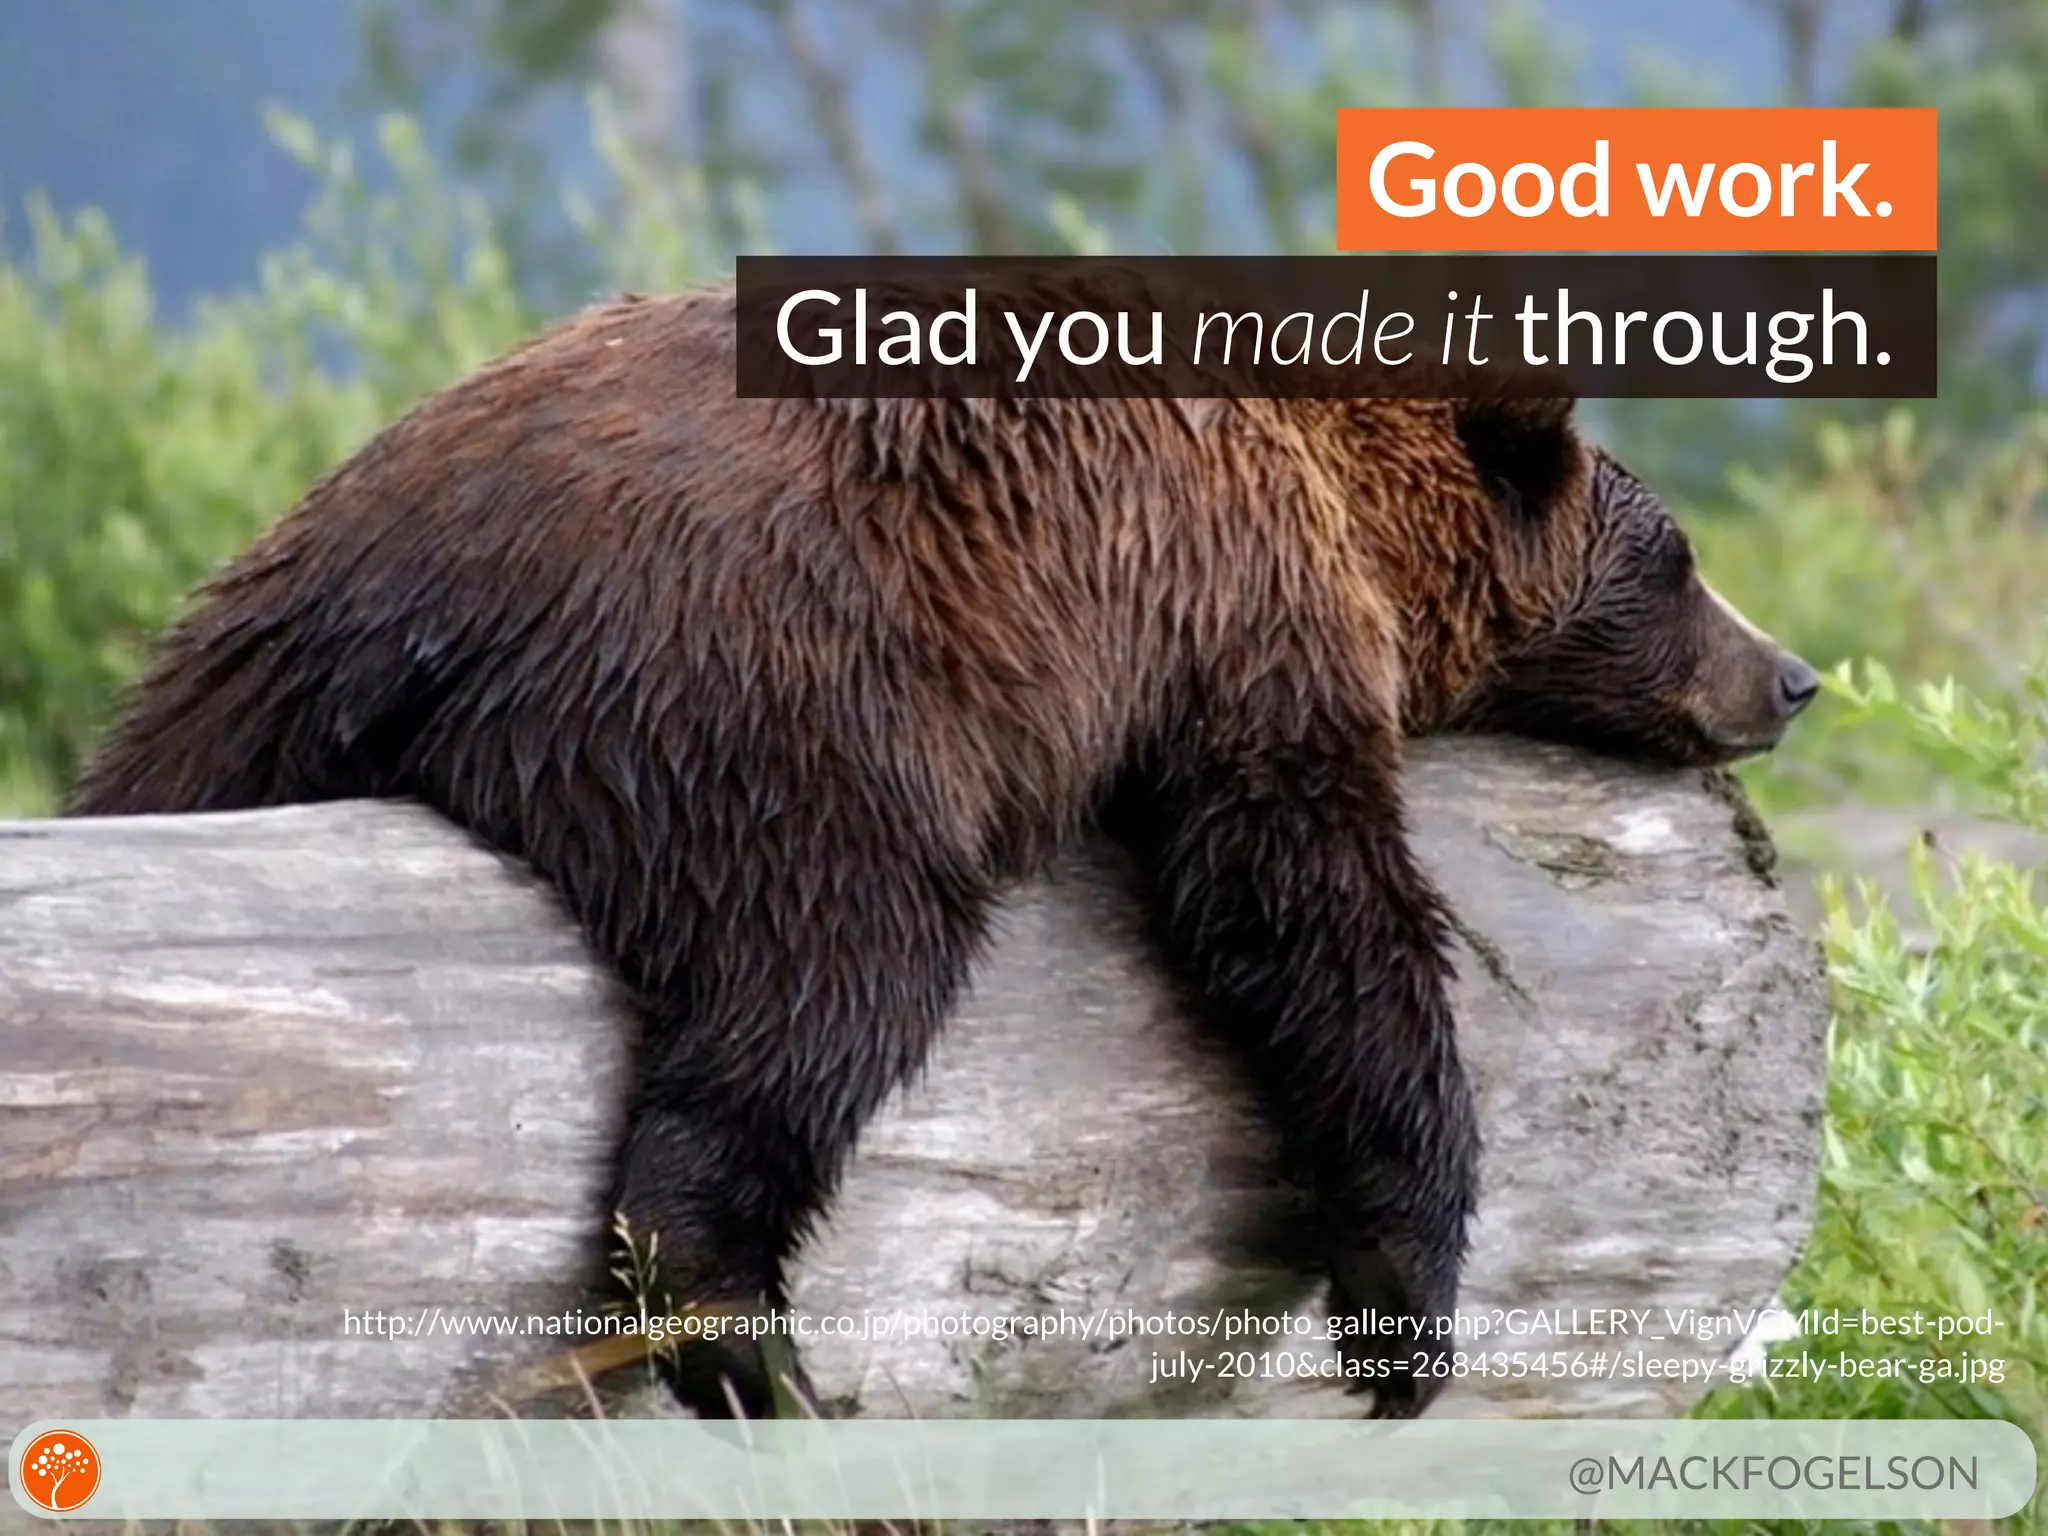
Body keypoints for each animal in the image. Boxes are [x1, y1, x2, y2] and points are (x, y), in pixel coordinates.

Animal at [66, 283, 1817, 1419]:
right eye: (1681, 559)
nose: (1792, 675)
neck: (1345, 501)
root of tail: (408, 600)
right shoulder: (1237, 600)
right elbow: (1303, 899)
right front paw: (1404, 1308)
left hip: (229, 684)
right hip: (776, 699)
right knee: (832, 975)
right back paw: (747, 1342)